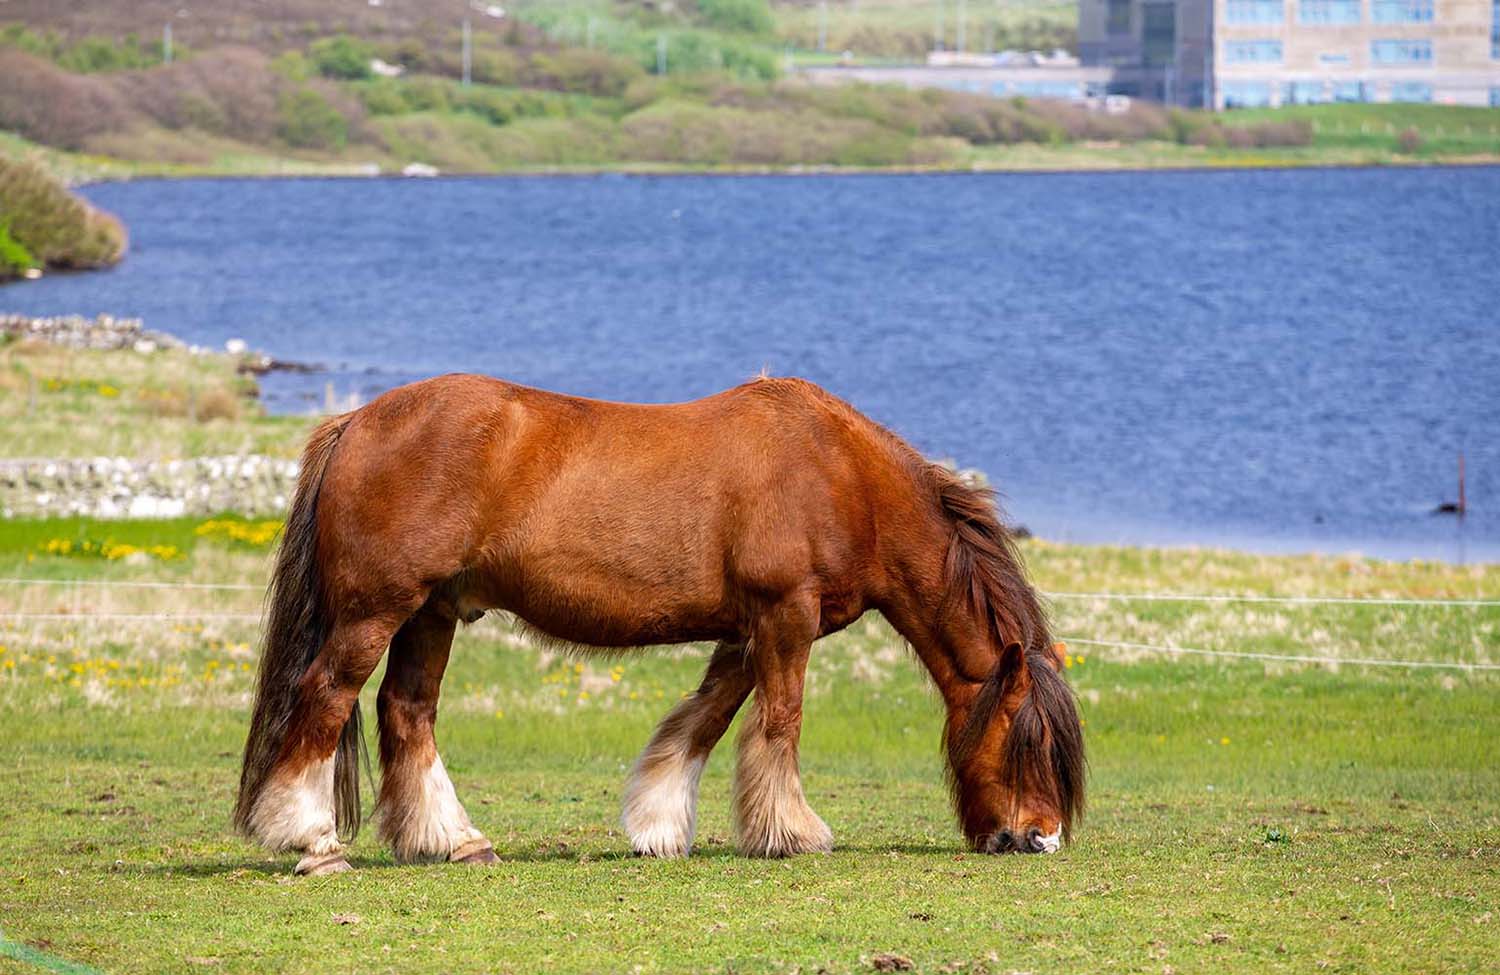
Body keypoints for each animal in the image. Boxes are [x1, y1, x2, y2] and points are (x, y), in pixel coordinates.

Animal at [231, 372, 1080, 876]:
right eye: (1024, 739)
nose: (1040, 836)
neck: (841, 474)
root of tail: (357, 421)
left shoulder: (747, 630)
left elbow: (704, 721)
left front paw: (658, 827)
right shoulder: (786, 615)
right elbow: (781, 720)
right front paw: (792, 832)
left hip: (433, 611)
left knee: (407, 710)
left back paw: (456, 840)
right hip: (375, 610)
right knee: (327, 696)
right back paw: (314, 841)